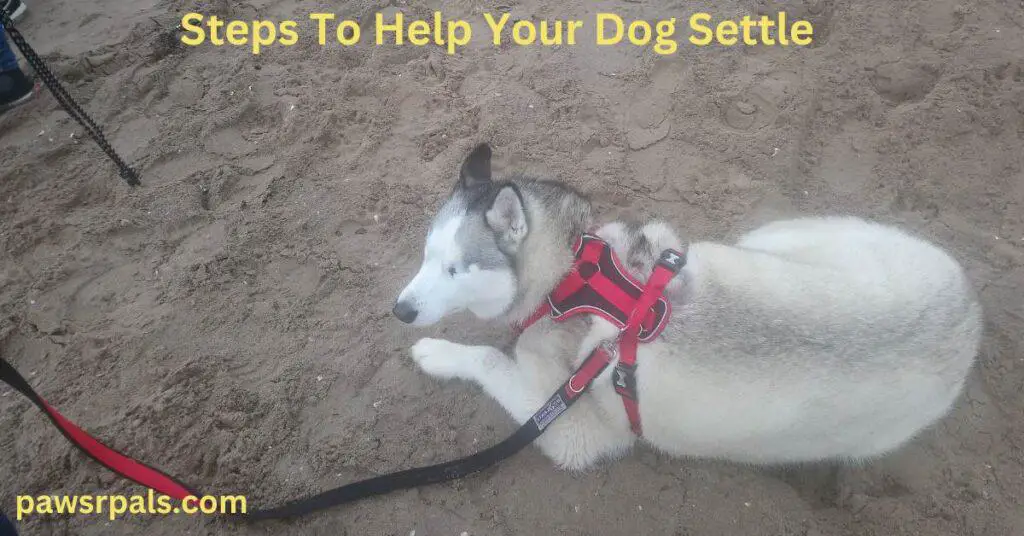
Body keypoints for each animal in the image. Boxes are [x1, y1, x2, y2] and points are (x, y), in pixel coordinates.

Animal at [391, 142, 983, 469]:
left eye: (455, 269)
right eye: (425, 254)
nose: (401, 310)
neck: (575, 276)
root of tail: (972, 316)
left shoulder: (574, 434)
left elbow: (490, 360)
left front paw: (437, 353)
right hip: (780, 238)